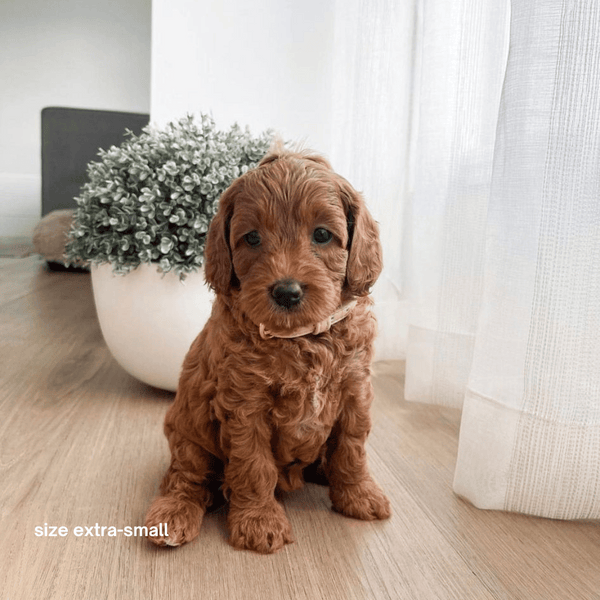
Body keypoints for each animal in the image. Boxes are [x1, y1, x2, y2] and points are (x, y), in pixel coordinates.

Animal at [145, 149, 390, 552]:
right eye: (251, 238)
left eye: (322, 235)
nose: (286, 291)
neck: (300, 339)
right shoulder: (245, 404)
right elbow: (253, 464)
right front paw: (259, 521)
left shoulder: (355, 391)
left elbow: (351, 450)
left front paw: (359, 495)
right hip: (188, 433)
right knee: (187, 477)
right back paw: (173, 513)